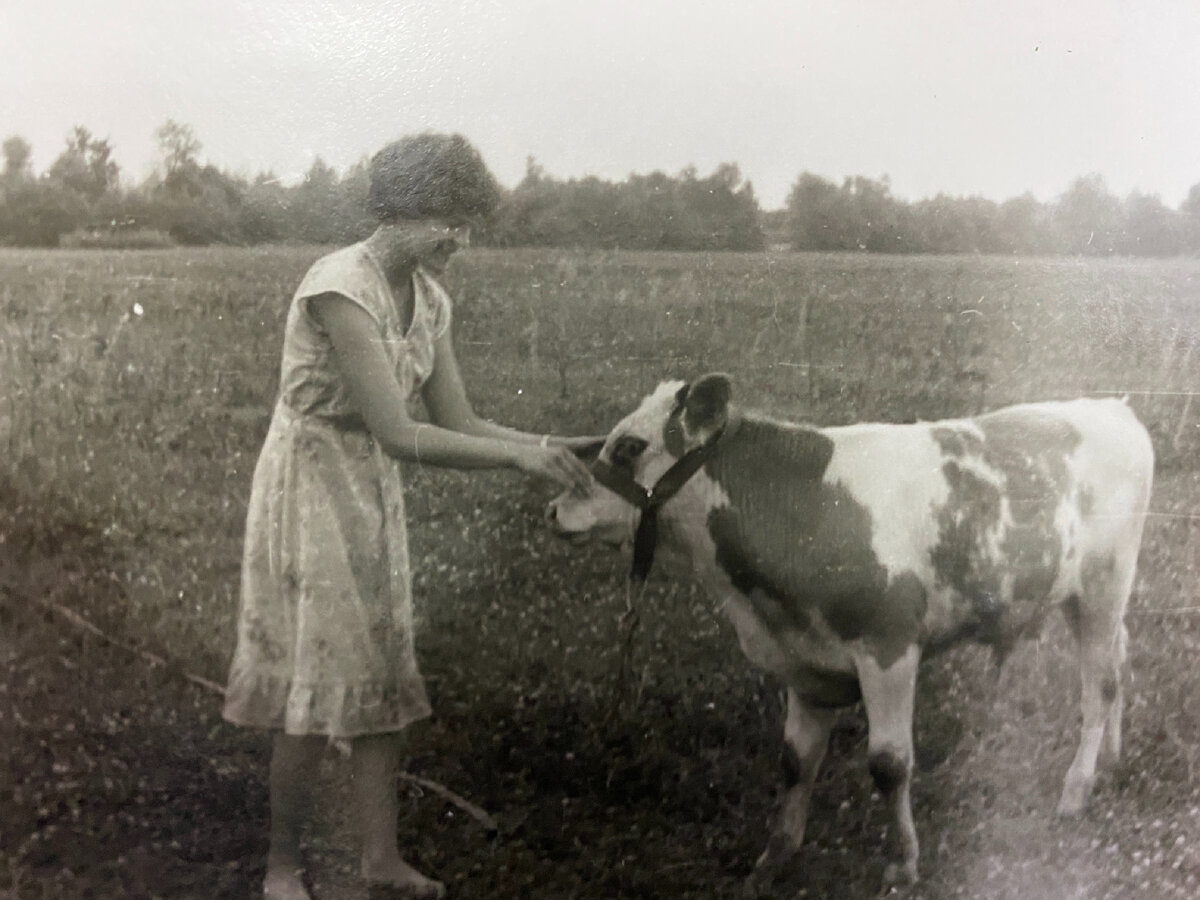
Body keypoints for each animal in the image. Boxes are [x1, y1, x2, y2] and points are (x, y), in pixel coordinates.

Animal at [549, 374, 1156, 888]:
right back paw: (1110, 760)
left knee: (1100, 685)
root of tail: (1112, 407)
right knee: (1122, 659)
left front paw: (904, 862)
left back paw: (1076, 789)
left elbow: (889, 763)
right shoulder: (804, 662)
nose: (555, 510)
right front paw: (776, 854)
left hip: (1104, 586)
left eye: (629, 447)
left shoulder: (889, 649)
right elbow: (795, 761)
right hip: (1088, 598)